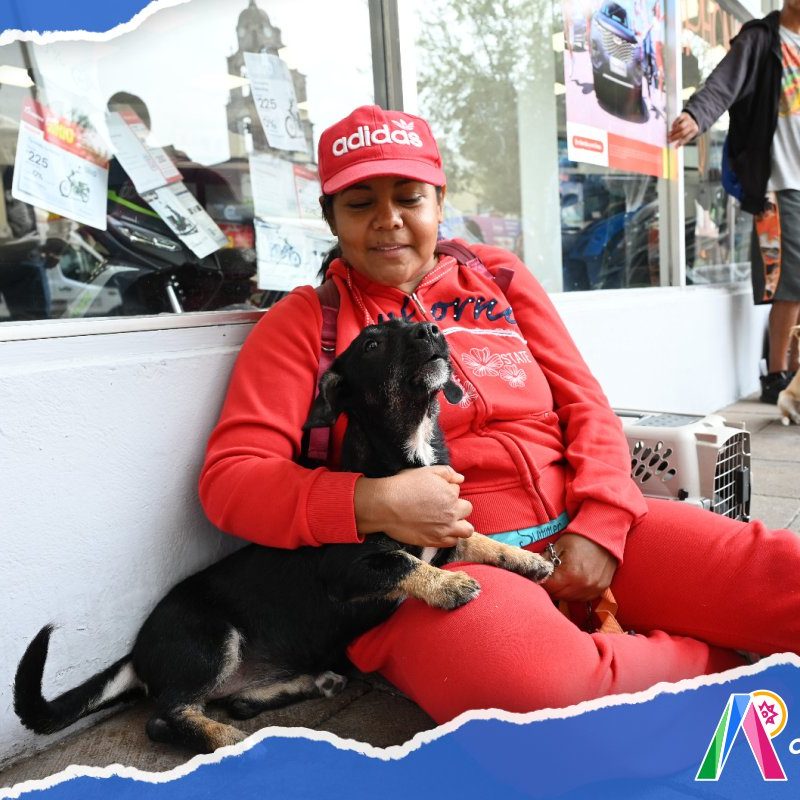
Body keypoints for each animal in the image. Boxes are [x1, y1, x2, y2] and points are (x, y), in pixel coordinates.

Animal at [14, 320, 553, 753]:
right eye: (372, 342)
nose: (432, 330)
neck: (409, 457)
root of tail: (137, 652)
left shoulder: (444, 535)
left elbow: (477, 538)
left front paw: (528, 561)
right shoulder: (347, 569)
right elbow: (404, 562)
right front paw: (450, 586)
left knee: (232, 700)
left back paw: (307, 686)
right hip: (211, 637)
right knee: (166, 719)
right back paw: (230, 741)